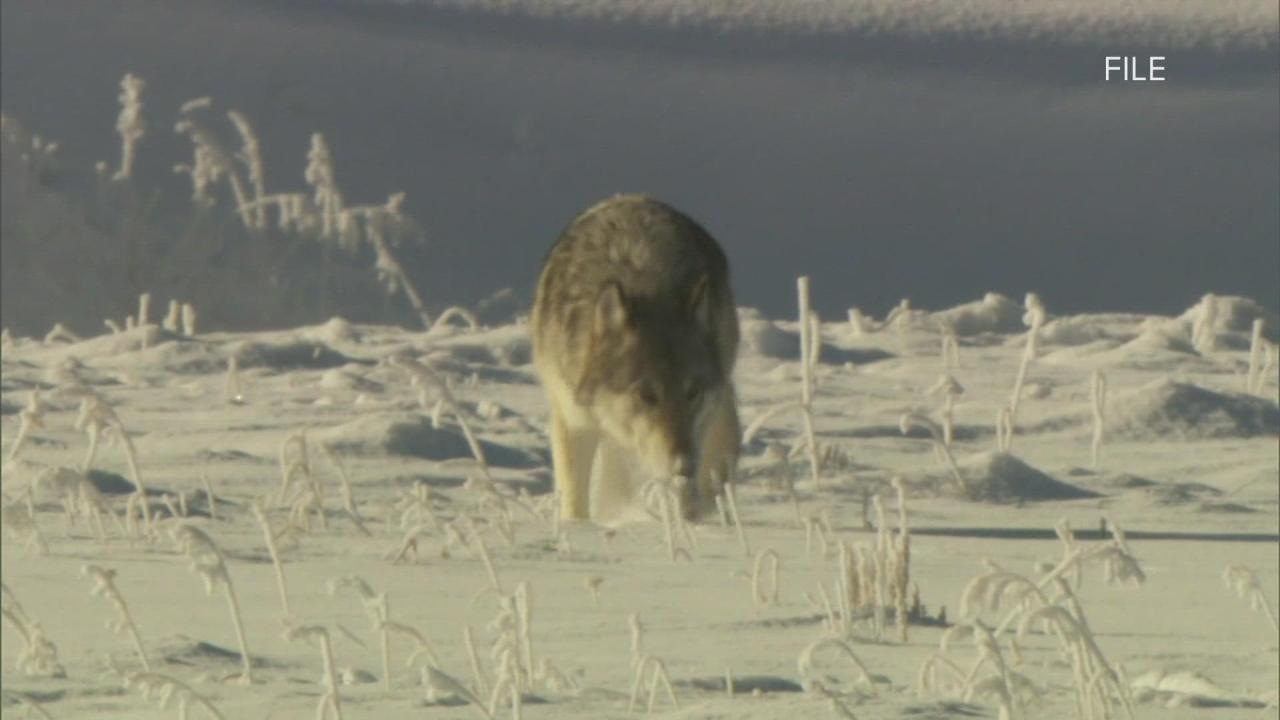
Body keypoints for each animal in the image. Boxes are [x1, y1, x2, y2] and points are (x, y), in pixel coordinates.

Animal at [529, 194, 742, 520]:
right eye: (646, 395)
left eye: (692, 393)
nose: (684, 464)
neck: (646, 284)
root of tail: (633, 197)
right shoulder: (573, 421)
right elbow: (574, 502)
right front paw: (576, 528)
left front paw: (689, 520)